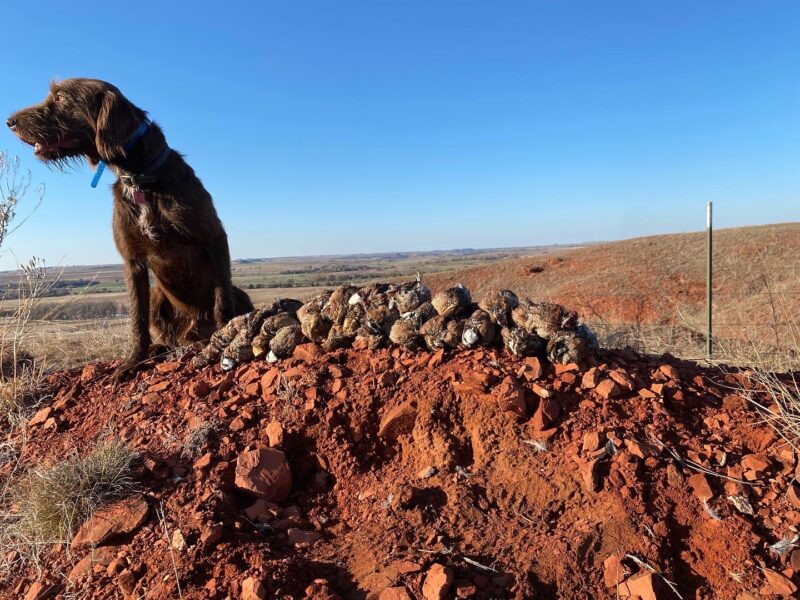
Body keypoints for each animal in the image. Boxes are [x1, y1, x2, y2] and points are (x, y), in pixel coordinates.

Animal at [7, 79, 253, 380]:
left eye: (61, 97)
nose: (10, 122)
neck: (140, 178)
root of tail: (193, 334)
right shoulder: (132, 260)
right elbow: (137, 317)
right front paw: (134, 361)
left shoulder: (214, 237)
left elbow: (222, 300)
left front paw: (223, 337)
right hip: (159, 299)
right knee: (167, 335)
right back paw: (161, 347)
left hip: (239, 294)